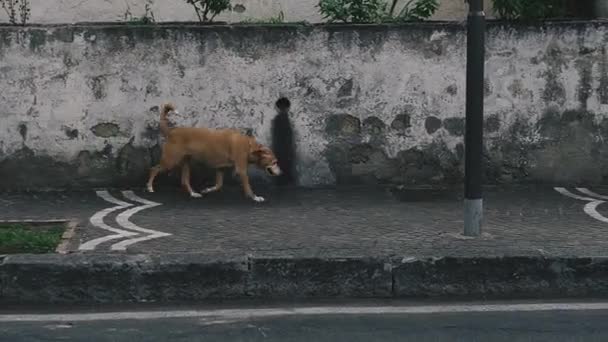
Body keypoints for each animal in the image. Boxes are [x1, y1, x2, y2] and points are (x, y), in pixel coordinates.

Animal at [147, 103, 282, 202]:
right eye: (275, 162)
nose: (281, 172)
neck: (249, 146)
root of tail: (171, 131)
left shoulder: (220, 168)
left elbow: (219, 185)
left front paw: (208, 189)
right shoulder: (241, 170)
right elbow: (248, 186)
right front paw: (255, 197)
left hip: (185, 162)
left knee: (184, 180)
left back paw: (193, 194)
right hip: (170, 160)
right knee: (154, 168)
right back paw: (149, 187)